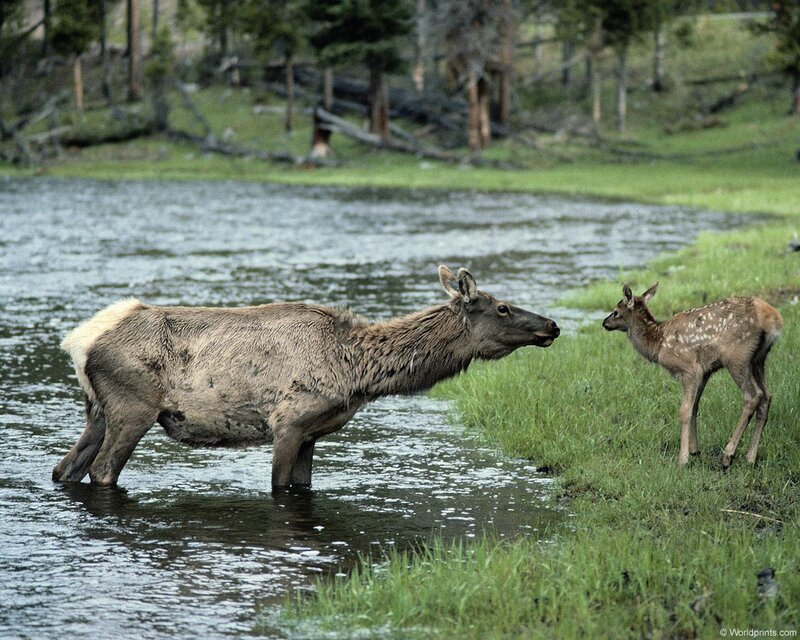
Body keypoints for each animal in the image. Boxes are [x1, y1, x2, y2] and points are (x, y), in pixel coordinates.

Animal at [54, 265, 560, 491]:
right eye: (503, 307)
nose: (552, 325)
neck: (358, 371)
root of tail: (80, 341)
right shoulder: (289, 422)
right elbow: (280, 486)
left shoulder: (313, 433)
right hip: (132, 407)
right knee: (101, 470)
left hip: (97, 410)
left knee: (65, 469)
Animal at [602, 283, 782, 468]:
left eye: (616, 311)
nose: (604, 323)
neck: (658, 343)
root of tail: (772, 318)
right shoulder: (705, 371)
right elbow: (695, 405)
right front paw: (695, 450)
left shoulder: (689, 369)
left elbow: (685, 411)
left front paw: (683, 458)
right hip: (758, 359)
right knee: (767, 396)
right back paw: (750, 457)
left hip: (737, 357)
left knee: (753, 396)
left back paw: (728, 455)